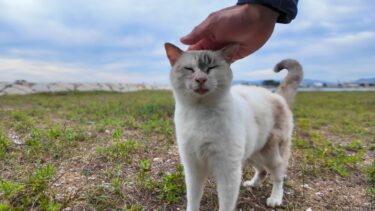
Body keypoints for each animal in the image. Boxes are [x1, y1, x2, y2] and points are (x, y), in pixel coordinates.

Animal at [164, 42, 302, 210]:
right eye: (189, 69)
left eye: (211, 67)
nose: (201, 78)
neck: (200, 112)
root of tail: (276, 95)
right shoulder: (193, 168)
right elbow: (193, 198)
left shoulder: (227, 171)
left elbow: (226, 203)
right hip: (252, 153)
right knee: (262, 171)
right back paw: (252, 184)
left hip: (272, 154)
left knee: (278, 176)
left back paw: (274, 199)